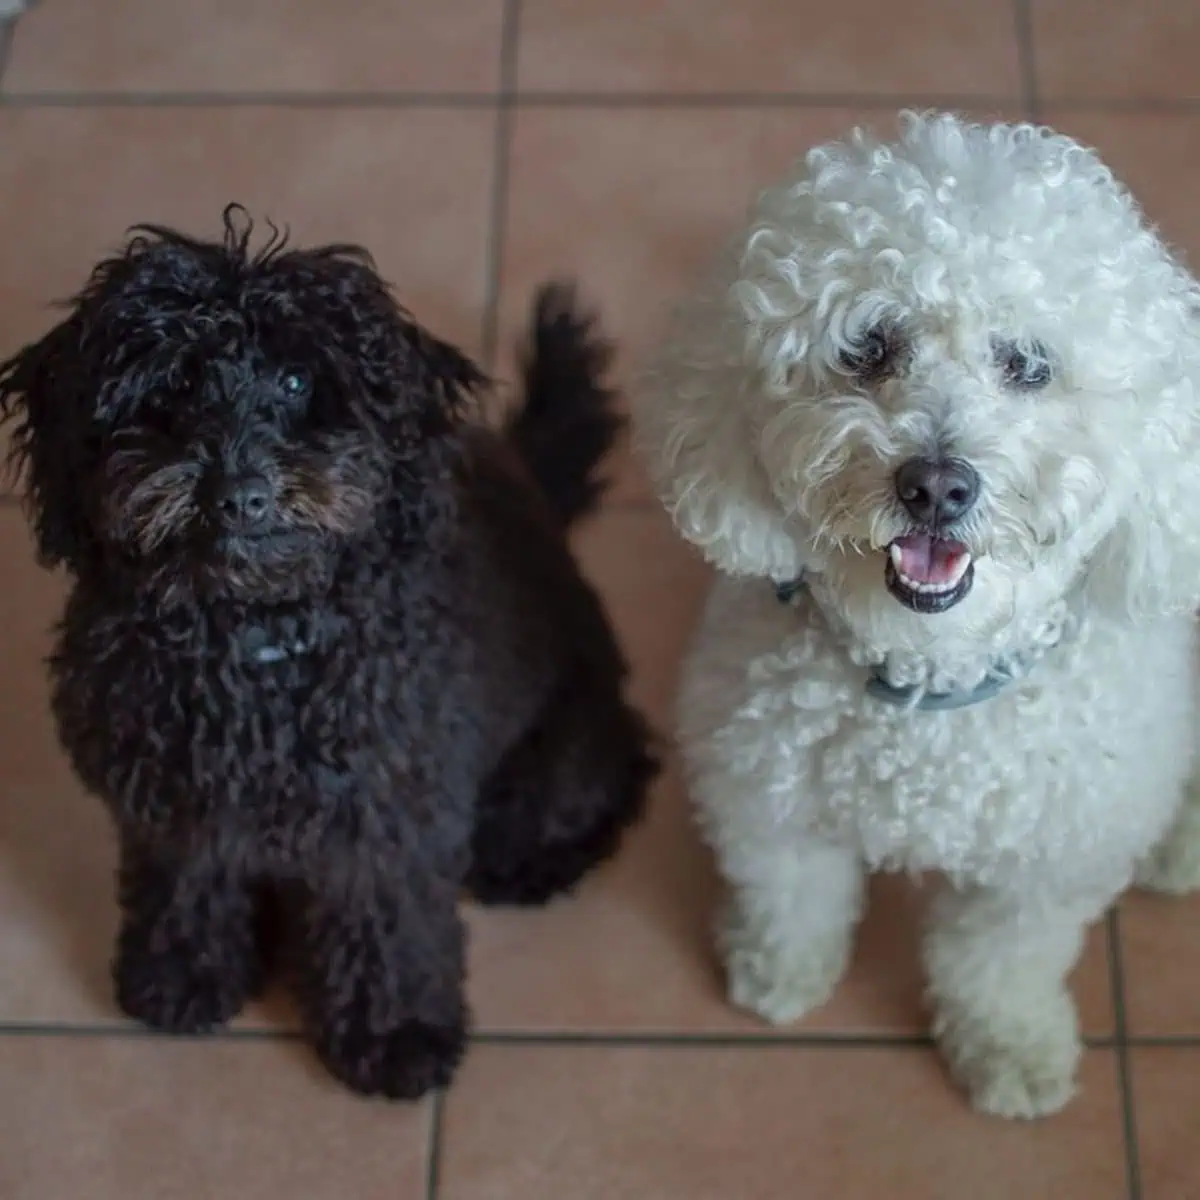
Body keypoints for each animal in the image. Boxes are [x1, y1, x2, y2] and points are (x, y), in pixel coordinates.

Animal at [0, 208, 657, 1099]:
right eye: (175, 384)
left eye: (294, 382)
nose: (237, 494)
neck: (250, 643)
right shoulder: (173, 799)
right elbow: (182, 885)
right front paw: (181, 976)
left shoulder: (387, 811)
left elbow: (386, 925)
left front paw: (395, 1033)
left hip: (558, 751)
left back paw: (529, 863)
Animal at [638, 110, 1200, 1113]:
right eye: (868, 347)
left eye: (1029, 365)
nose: (936, 484)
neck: (929, 680)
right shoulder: (767, 791)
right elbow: (793, 893)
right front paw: (779, 972)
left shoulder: (1044, 865)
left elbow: (1001, 961)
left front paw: (1010, 1050)